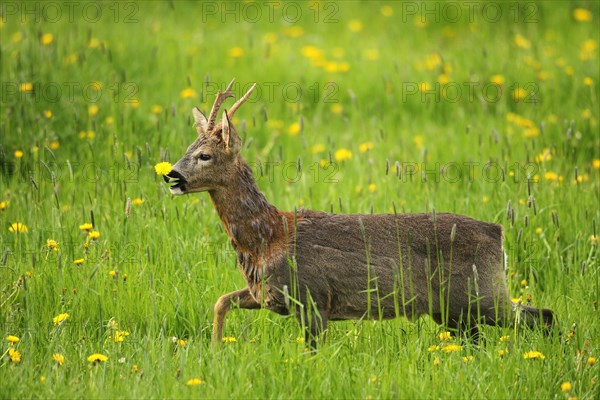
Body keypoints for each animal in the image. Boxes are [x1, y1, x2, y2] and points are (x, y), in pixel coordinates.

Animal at [163, 79, 552, 346]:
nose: (171, 175)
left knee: (543, 315)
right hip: (455, 311)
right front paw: (215, 351)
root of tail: (498, 233)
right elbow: (220, 302)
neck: (268, 238)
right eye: (188, 147)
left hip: (481, 295)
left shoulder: (313, 299)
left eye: (205, 155)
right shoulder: (266, 295)